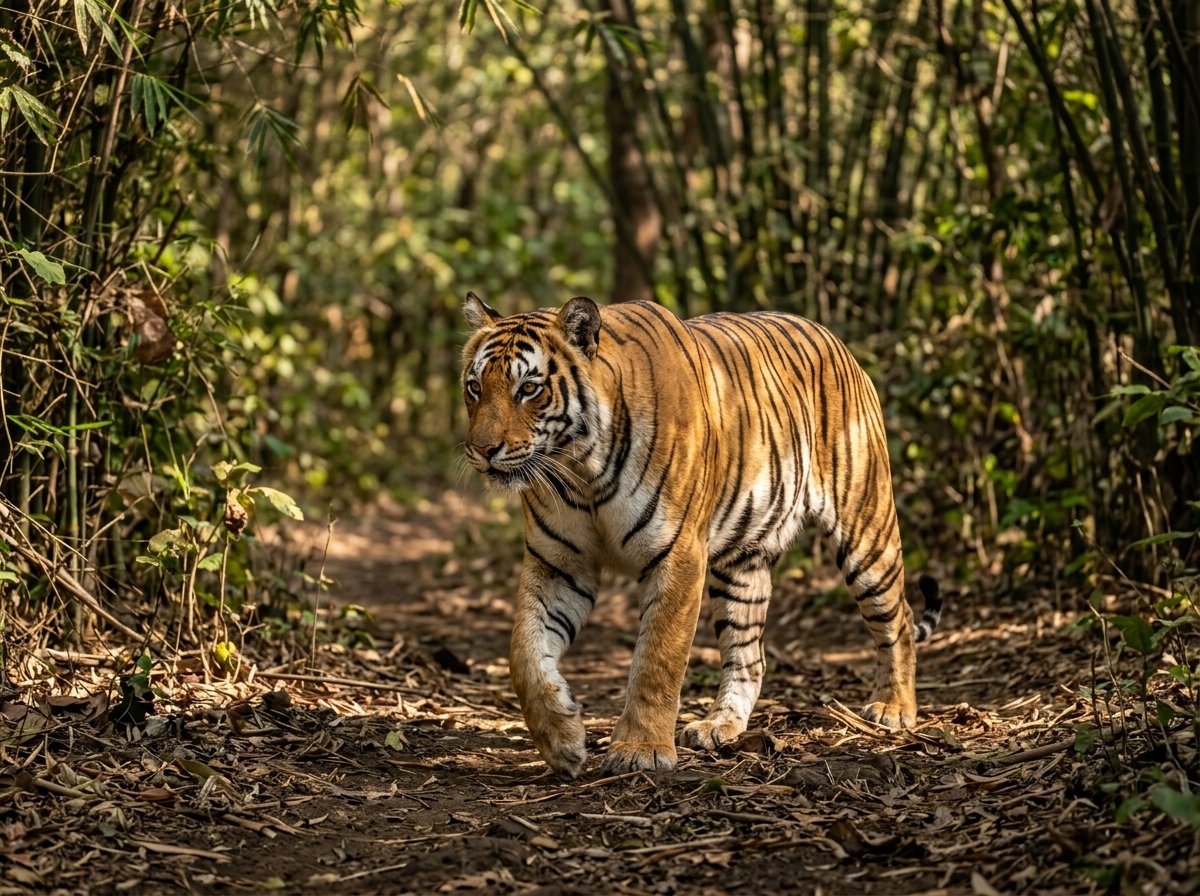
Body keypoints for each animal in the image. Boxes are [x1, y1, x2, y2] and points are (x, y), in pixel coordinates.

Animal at [460, 292, 942, 778]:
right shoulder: (559, 563)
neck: (580, 469)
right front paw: (562, 739)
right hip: (743, 565)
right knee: (750, 656)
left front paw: (640, 749)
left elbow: (657, 657)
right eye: (474, 387)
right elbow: (524, 653)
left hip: (867, 530)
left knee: (899, 618)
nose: (482, 450)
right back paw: (718, 726)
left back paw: (893, 709)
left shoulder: (677, 554)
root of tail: (836, 341)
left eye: (529, 389)